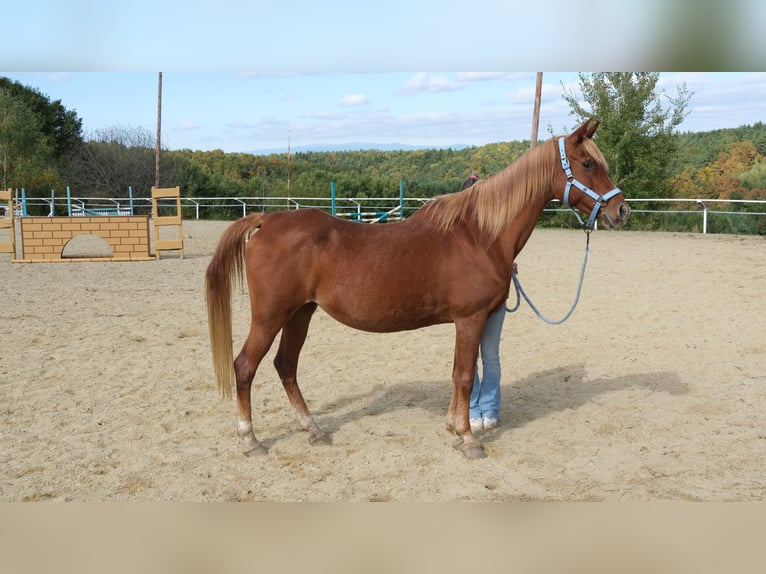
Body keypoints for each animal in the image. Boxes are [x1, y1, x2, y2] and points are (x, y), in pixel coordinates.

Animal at [205, 119, 630, 459]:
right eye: (588, 163)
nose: (621, 211)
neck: (479, 235)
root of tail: (267, 220)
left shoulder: (472, 320)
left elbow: (462, 373)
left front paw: (455, 429)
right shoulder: (470, 318)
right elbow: (465, 376)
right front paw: (468, 439)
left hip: (300, 314)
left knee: (285, 366)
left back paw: (313, 430)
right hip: (271, 316)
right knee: (245, 367)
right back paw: (251, 440)